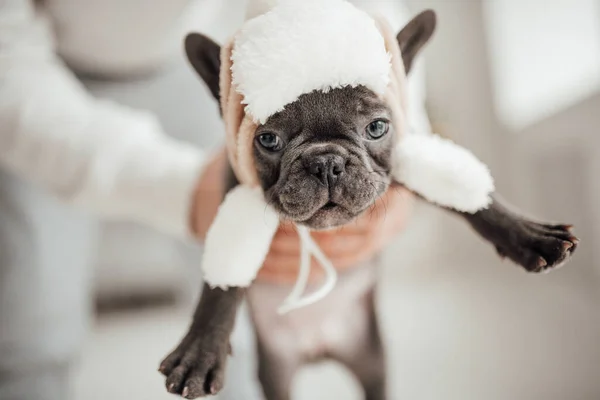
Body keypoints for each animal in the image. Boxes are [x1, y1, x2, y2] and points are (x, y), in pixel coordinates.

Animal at [158, 10, 576, 400]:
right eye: (268, 139)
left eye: (376, 128)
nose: (325, 162)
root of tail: (320, 348)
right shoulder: (233, 189)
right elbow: (223, 280)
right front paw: (201, 350)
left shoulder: (403, 160)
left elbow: (465, 196)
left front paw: (530, 235)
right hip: (276, 372)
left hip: (373, 361)